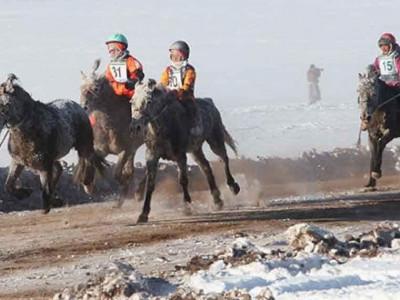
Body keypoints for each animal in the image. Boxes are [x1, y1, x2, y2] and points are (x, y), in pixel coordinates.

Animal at [0, 74, 107, 212]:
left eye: (3, 105)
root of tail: (78, 106)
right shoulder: (18, 162)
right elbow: (9, 185)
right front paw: (25, 193)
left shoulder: (44, 166)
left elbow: (45, 190)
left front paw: (47, 205)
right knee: (59, 168)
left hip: (84, 145)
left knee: (88, 161)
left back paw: (88, 186)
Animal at [79, 59, 144, 205]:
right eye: (81, 88)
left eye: (96, 88)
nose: (83, 107)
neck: (108, 127)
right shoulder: (98, 150)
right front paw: (89, 187)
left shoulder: (125, 150)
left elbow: (118, 173)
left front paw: (126, 188)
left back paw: (138, 193)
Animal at [130, 78, 239, 224]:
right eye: (131, 101)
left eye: (149, 101)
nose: (135, 126)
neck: (165, 126)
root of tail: (210, 102)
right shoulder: (152, 156)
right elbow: (151, 184)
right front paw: (143, 214)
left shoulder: (180, 156)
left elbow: (183, 180)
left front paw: (187, 207)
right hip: (196, 150)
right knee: (206, 167)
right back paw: (217, 200)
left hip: (215, 140)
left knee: (224, 158)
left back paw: (233, 187)